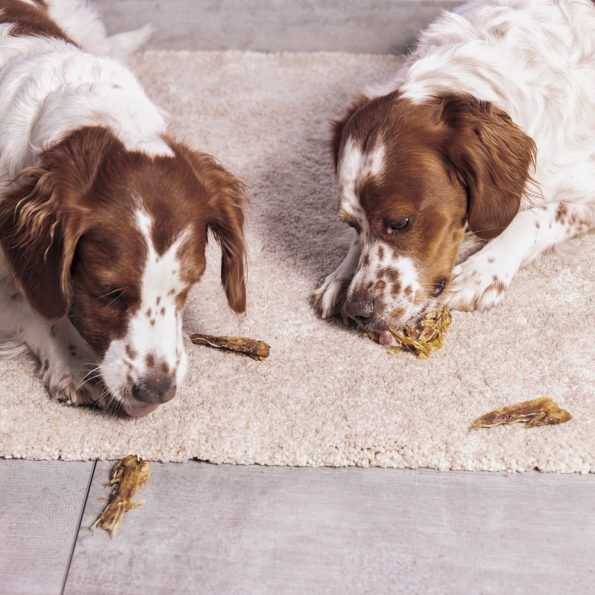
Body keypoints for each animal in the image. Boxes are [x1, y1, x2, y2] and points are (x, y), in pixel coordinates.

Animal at [314, 0, 592, 350]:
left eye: (401, 223)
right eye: (351, 223)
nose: (358, 311)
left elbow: (533, 217)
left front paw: (481, 272)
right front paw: (341, 275)